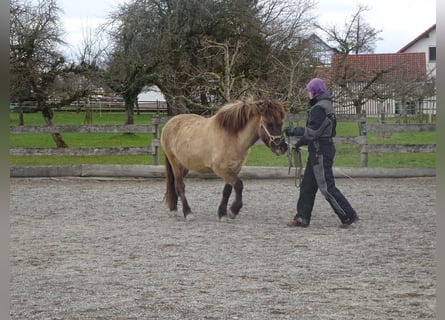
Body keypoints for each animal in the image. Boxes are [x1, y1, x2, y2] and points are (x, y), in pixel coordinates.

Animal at [160, 98, 288, 220]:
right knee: (179, 186)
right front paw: (233, 211)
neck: (233, 137)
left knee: (175, 185)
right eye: (269, 124)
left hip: (185, 166)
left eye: (281, 123)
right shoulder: (221, 169)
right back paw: (188, 213)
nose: (283, 147)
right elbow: (239, 185)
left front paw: (222, 214)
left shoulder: (234, 168)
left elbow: (227, 190)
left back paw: (174, 209)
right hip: (175, 164)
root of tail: (168, 124)